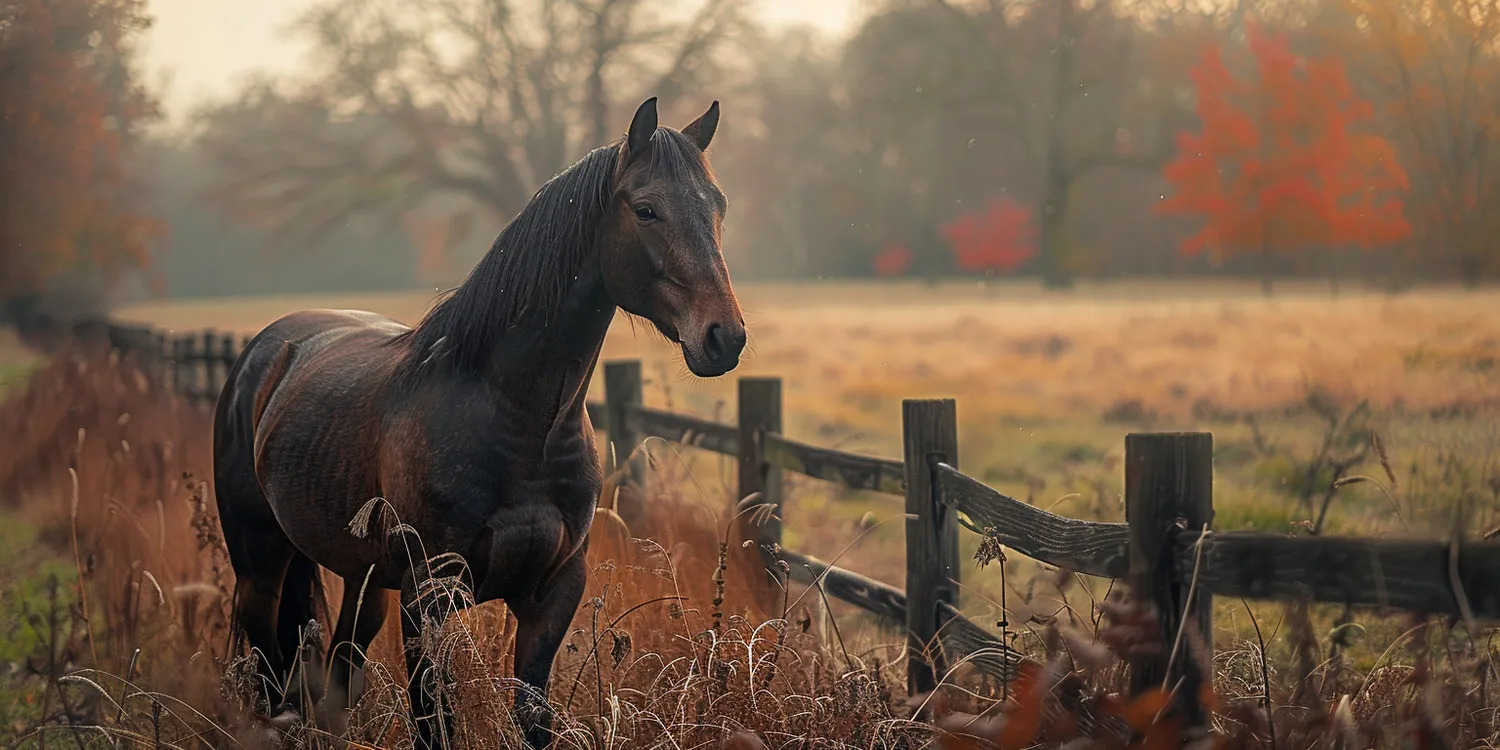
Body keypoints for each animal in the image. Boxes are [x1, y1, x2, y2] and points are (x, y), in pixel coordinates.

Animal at [213, 99, 744, 750]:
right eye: (646, 209)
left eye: (717, 205)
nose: (724, 337)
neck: (517, 421)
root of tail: (267, 353)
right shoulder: (428, 598)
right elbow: (434, 726)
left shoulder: (551, 597)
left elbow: (534, 721)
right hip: (259, 569)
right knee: (269, 675)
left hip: (365, 583)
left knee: (335, 674)